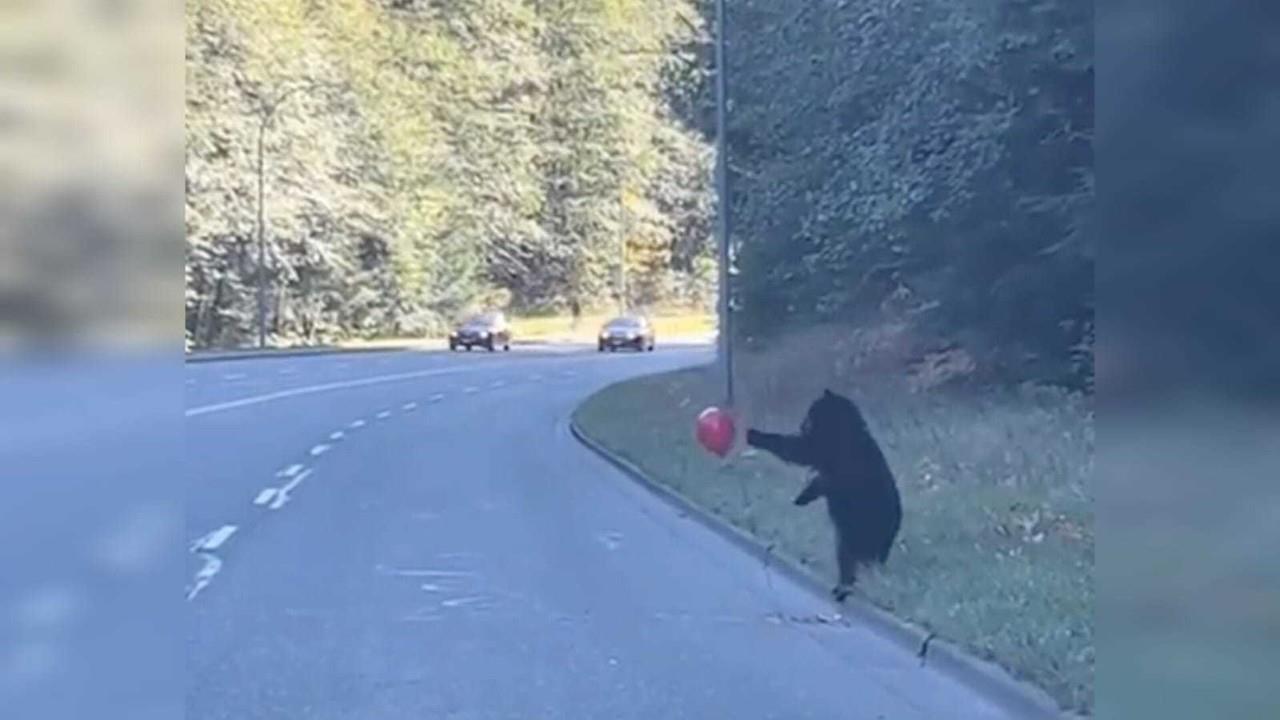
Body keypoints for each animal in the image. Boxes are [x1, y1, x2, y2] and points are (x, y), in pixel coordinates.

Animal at [747, 386, 906, 599]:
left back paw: (844, 586)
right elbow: (817, 478)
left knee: (849, 556)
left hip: (859, 527)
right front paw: (801, 498)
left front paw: (754, 434)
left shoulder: (833, 453)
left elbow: (800, 451)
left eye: (810, 413)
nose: (801, 425)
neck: (842, 429)